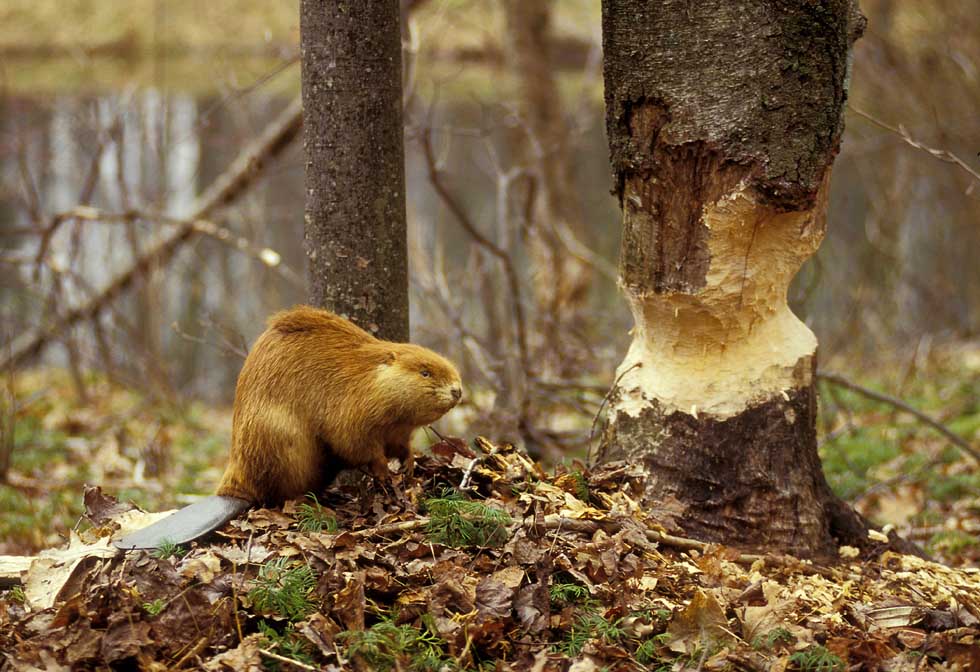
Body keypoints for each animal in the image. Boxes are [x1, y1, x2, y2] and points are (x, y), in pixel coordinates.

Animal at [216, 304, 462, 504]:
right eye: (425, 372)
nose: (457, 390)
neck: (368, 376)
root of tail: (231, 487)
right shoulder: (350, 408)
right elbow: (353, 442)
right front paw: (384, 471)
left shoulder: (397, 429)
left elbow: (399, 445)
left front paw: (408, 464)